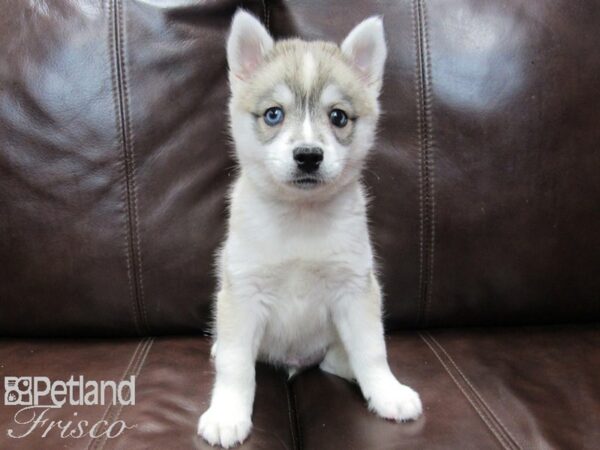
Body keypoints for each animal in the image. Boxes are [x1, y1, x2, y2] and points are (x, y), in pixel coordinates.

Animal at [198, 9, 422, 446]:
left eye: (338, 116)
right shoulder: (243, 293)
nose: (308, 155)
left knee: (341, 360)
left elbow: (372, 350)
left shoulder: (355, 289)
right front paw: (227, 412)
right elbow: (236, 366)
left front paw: (387, 391)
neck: (300, 218)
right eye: (273, 114)